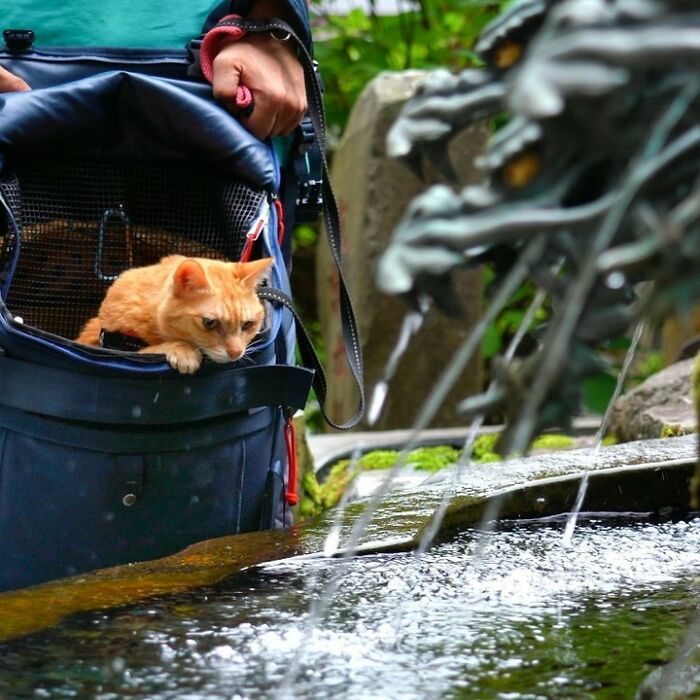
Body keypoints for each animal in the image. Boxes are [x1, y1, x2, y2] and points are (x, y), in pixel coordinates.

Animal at [76, 256, 274, 372]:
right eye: (210, 323)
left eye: (248, 324)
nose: (236, 353)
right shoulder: (121, 351)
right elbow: (149, 350)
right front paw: (182, 350)